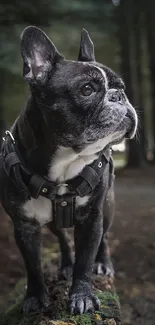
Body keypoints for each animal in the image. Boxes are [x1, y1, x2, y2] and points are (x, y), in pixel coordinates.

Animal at [0, 26, 137, 312]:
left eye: (121, 87)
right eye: (86, 90)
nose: (120, 96)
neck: (65, 163)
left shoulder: (92, 218)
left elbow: (85, 259)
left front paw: (82, 295)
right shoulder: (24, 226)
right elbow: (33, 265)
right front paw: (35, 297)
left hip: (107, 205)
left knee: (104, 238)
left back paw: (102, 264)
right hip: (53, 222)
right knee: (62, 237)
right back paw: (65, 265)